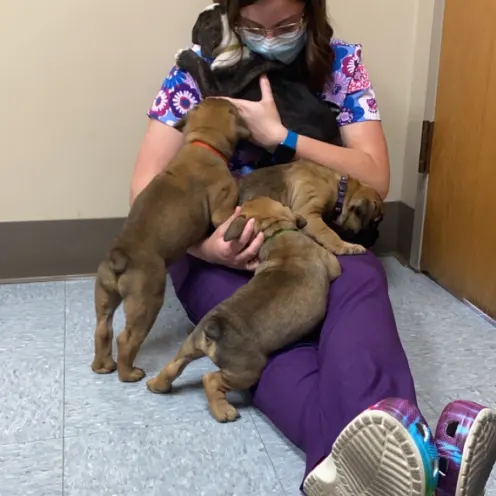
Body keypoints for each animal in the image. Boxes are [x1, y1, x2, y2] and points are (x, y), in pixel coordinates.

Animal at [91, 99, 250, 382]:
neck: (202, 142)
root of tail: (119, 255)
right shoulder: (222, 210)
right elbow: (231, 214)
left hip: (105, 295)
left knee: (103, 330)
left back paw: (103, 366)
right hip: (147, 301)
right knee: (126, 339)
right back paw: (129, 373)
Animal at [145, 198, 342, 422]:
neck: (277, 233)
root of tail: (213, 329)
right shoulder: (331, 263)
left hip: (190, 346)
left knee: (174, 366)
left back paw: (157, 385)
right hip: (245, 371)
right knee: (210, 380)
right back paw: (223, 411)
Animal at [236, 160, 384, 256]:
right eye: (373, 223)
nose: (377, 237)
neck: (340, 191)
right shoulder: (309, 215)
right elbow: (329, 233)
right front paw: (346, 246)